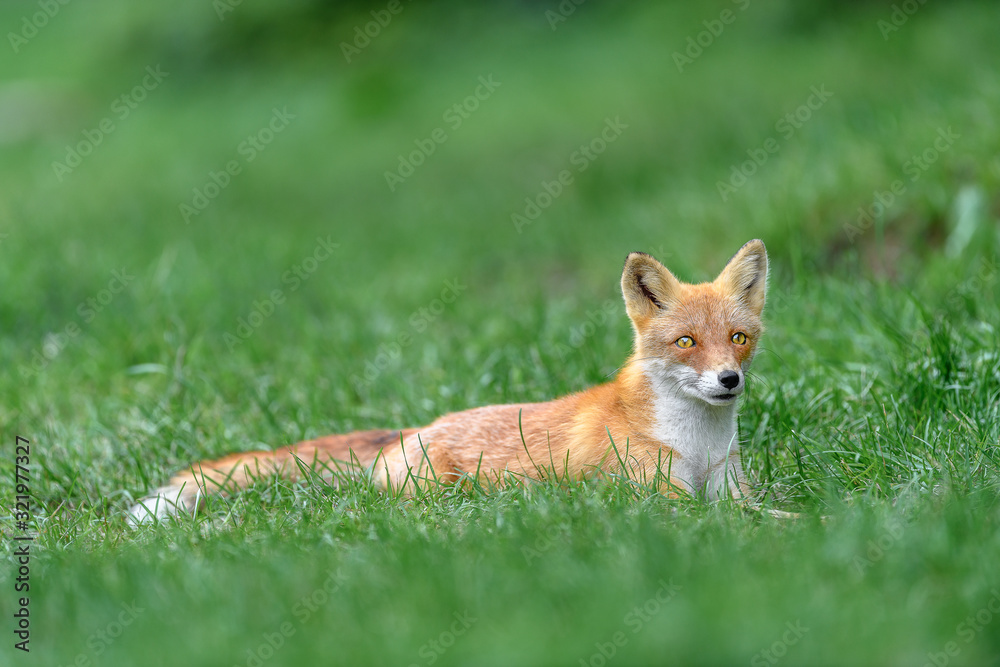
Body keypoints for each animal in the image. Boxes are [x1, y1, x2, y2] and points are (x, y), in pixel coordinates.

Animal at [128, 239, 769, 524]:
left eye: (738, 337)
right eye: (685, 343)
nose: (728, 380)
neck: (698, 445)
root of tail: (416, 427)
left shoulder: (730, 489)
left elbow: (765, 511)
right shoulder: (662, 503)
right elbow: (758, 525)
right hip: (443, 493)